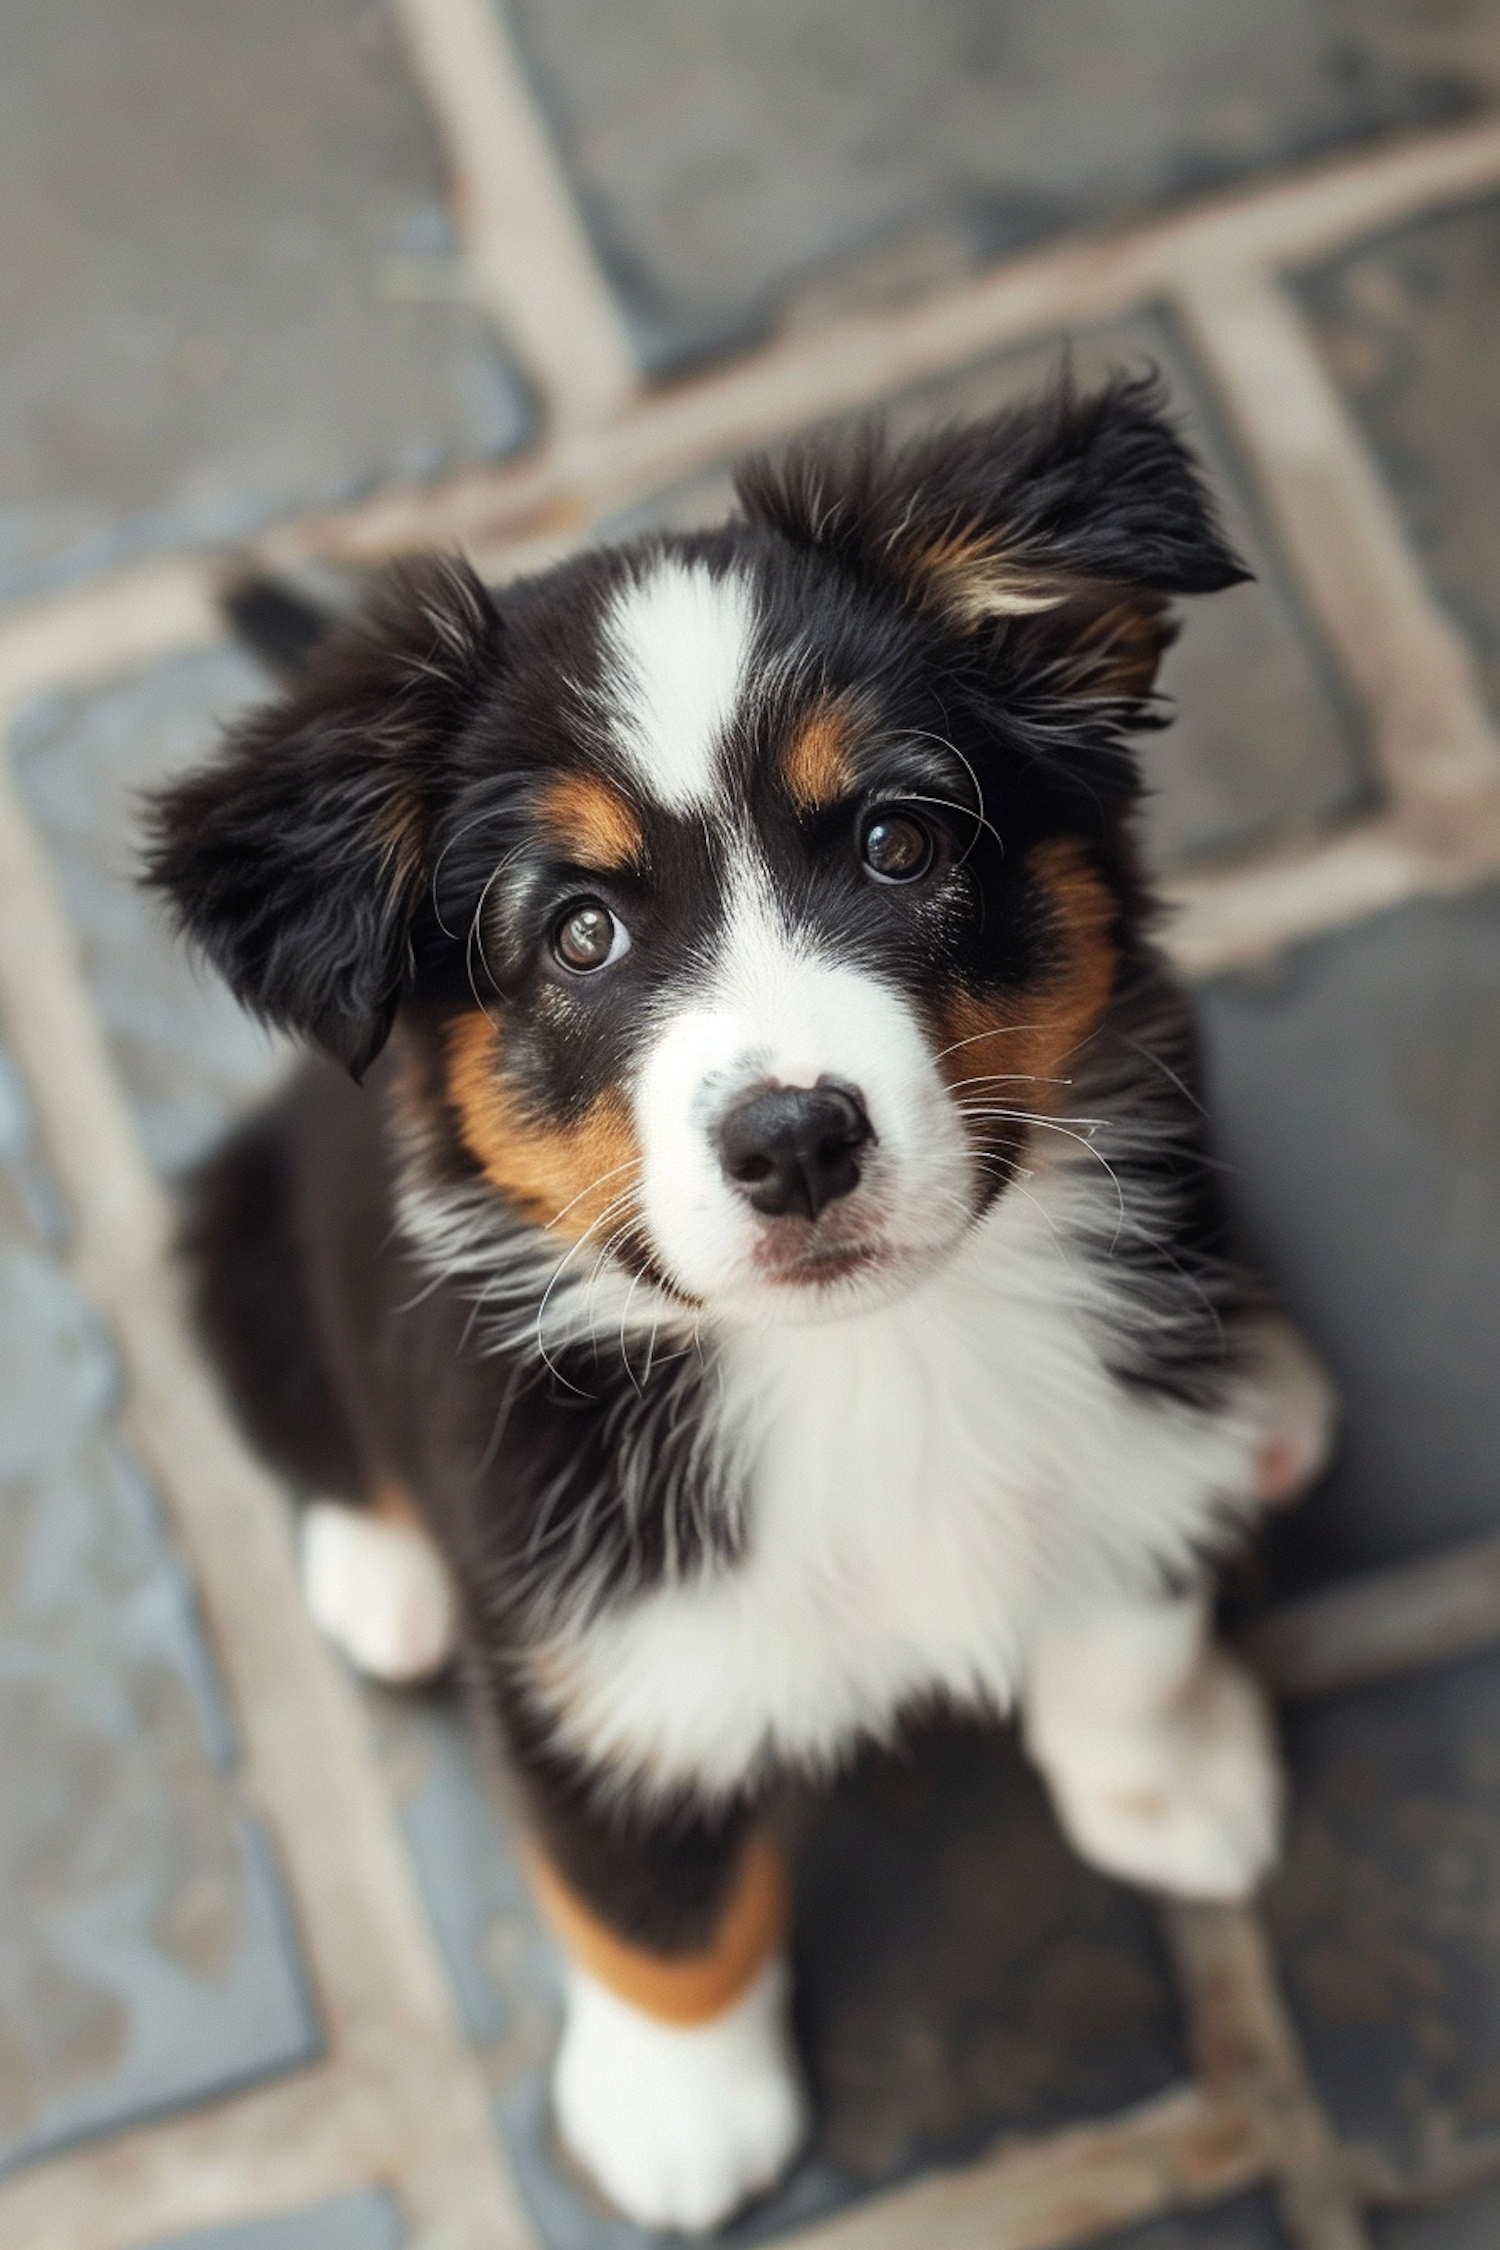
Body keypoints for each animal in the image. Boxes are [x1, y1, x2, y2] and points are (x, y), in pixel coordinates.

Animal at [146, 378, 1331, 2223]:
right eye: (579, 933)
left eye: (901, 842)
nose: (794, 1137)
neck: (868, 1362)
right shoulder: (584, 1652)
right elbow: (654, 1914)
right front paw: (678, 2114)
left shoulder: (1137, 1407)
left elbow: (1130, 1616)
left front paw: (1175, 1777)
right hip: (239, 1236)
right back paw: (380, 1579)